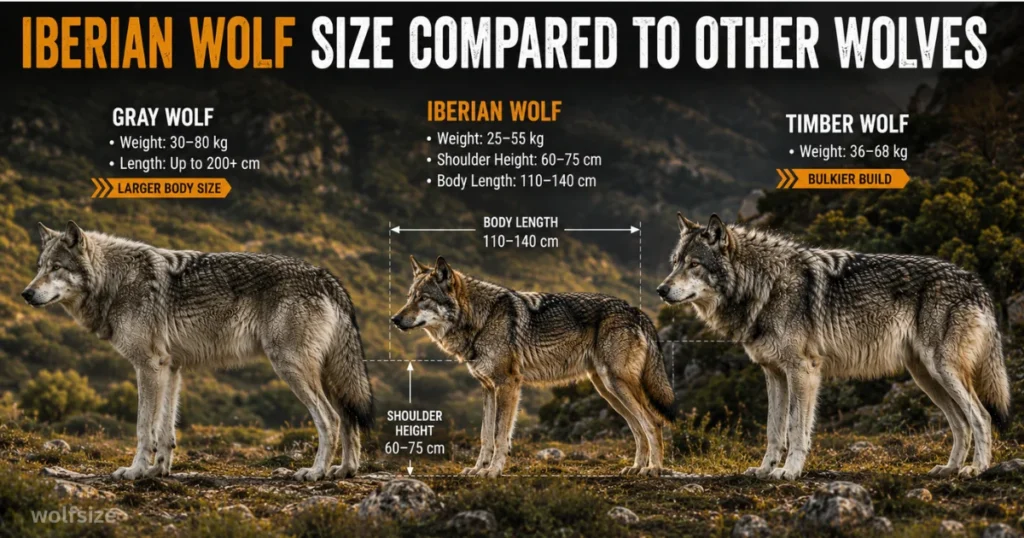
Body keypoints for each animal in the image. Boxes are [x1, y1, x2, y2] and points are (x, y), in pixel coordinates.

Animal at [22, 221, 373, 481]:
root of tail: (325, 276)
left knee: (329, 419)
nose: (26, 293)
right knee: (348, 418)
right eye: (39, 267)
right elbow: (165, 430)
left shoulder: (148, 366)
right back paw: (345, 470)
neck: (116, 282)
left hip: (291, 367)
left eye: (56, 267)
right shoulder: (170, 368)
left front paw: (135, 471)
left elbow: (143, 428)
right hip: (327, 375)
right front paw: (158, 470)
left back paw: (315, 472)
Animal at [391, 256, 674, 477]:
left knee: (652, 422)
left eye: (423, 298)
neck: (482, 319)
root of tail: (635, 310)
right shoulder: (488, 388)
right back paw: (637, 467)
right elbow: (485, 436)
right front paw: (478, 469)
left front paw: (493, 471)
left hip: (616, 384)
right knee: (637, 427)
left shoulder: (508, 384)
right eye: (409, 298)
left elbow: (500, 435)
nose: (394, 319)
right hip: (607, 390)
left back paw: (654, 469)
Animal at [657, 213, 1011, 480]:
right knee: (960, 423)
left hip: (942, 371)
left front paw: (789, 471)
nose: (661, 289)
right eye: (674, 262)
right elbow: (774, 430)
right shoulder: (774, 374)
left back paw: (976, 468)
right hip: (927, 377)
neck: (764, 285)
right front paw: (764, 469)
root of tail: (976, 284)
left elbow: (796, 428)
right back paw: (949, 468)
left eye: (694, 264)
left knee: (981, 416)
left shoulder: (803, 371)